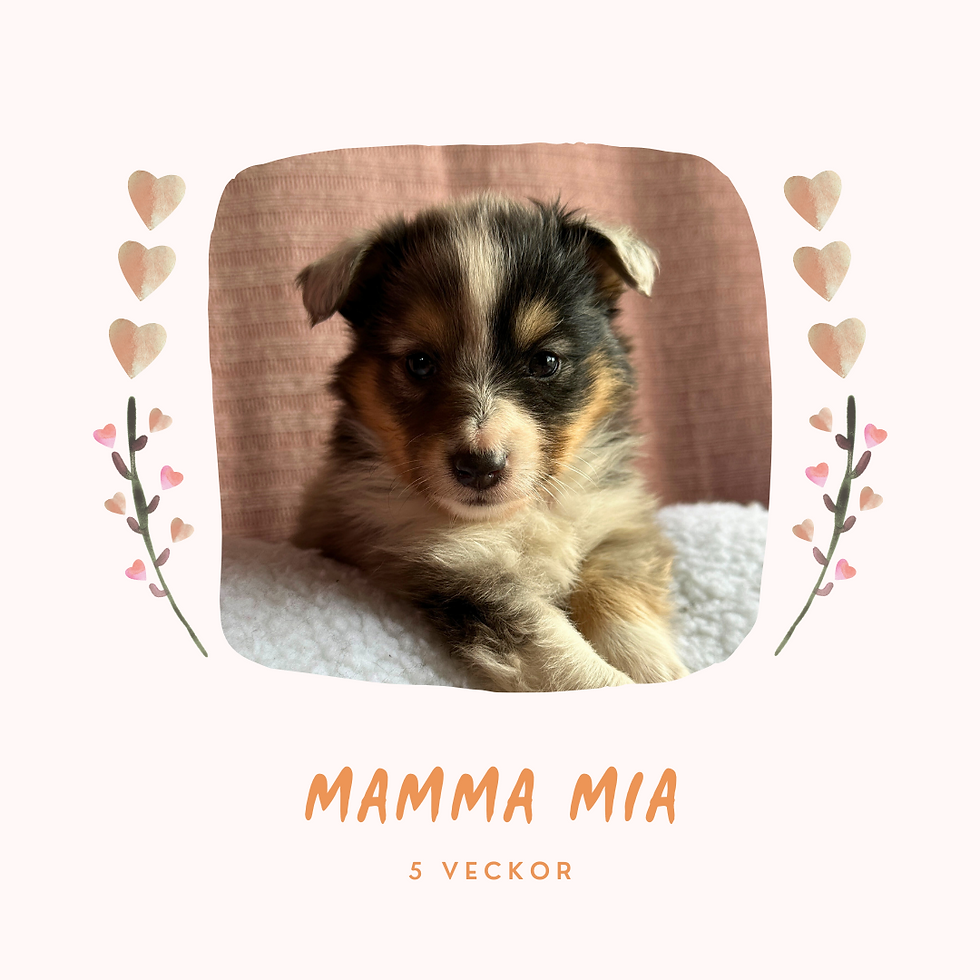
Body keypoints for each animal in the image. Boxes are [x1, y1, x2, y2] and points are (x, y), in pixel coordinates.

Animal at [292, 195, 688, 692]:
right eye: (419, 362)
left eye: (546, 362)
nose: (479, 467)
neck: (521, 514)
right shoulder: (460, 573)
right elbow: (561, 654)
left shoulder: (615, 523)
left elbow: (619, 594)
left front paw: (656, 669)